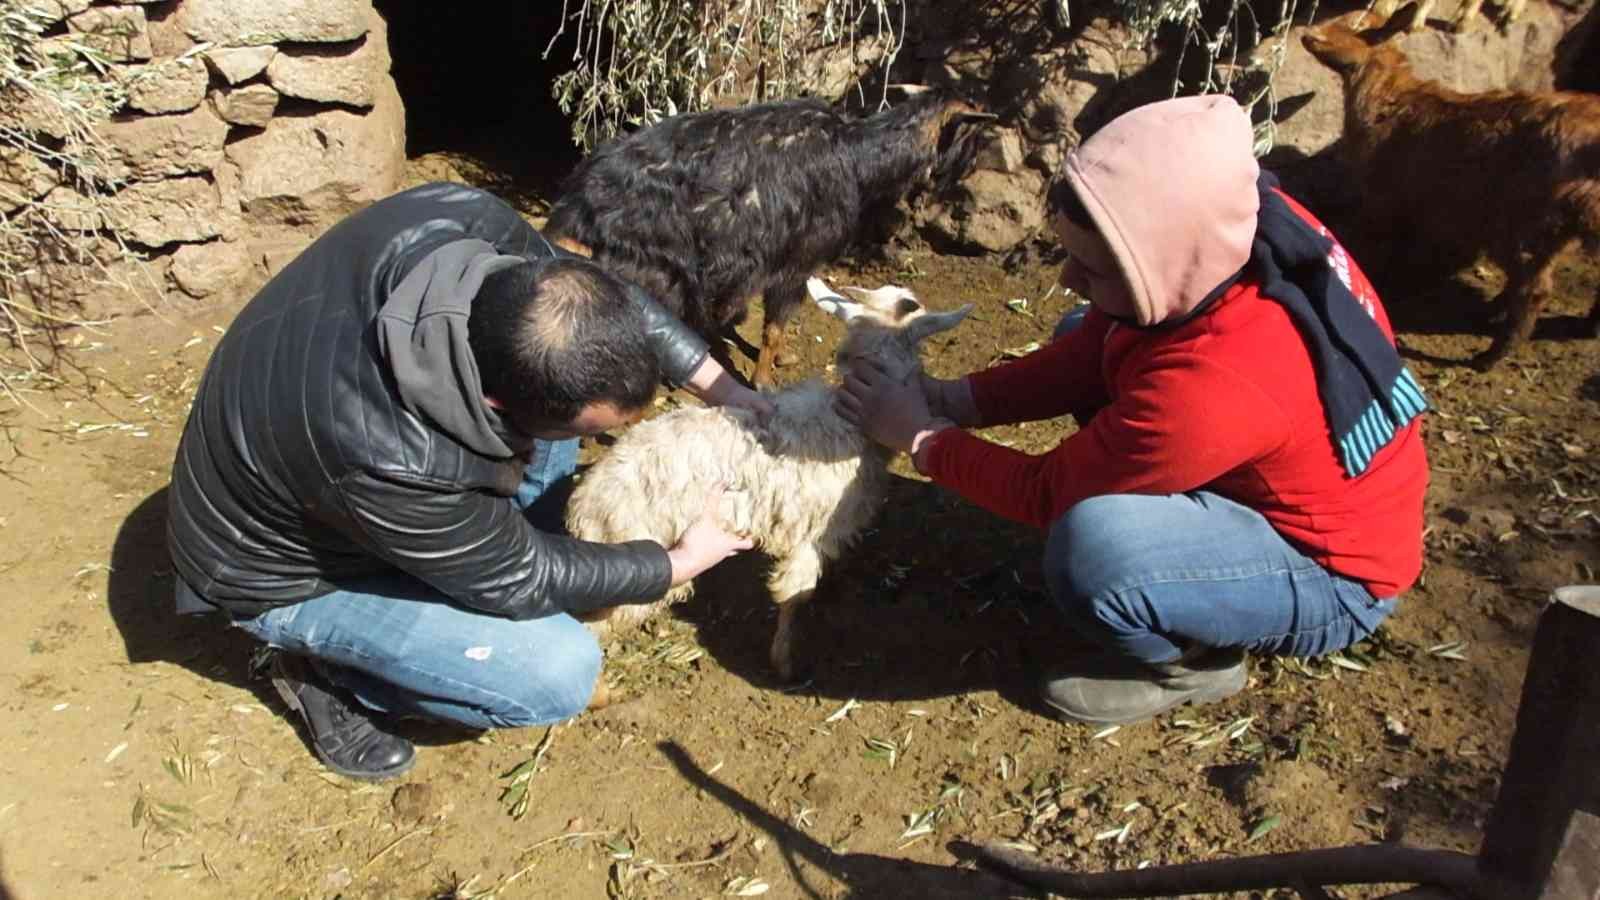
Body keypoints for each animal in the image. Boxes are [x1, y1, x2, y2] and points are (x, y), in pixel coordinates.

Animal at [553, 87, 998, 385]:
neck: (858, 156)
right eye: (975, 136)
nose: (966, 176)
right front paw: (766, 378)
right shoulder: (796, 259)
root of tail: (576, 208)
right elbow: (776, 323)